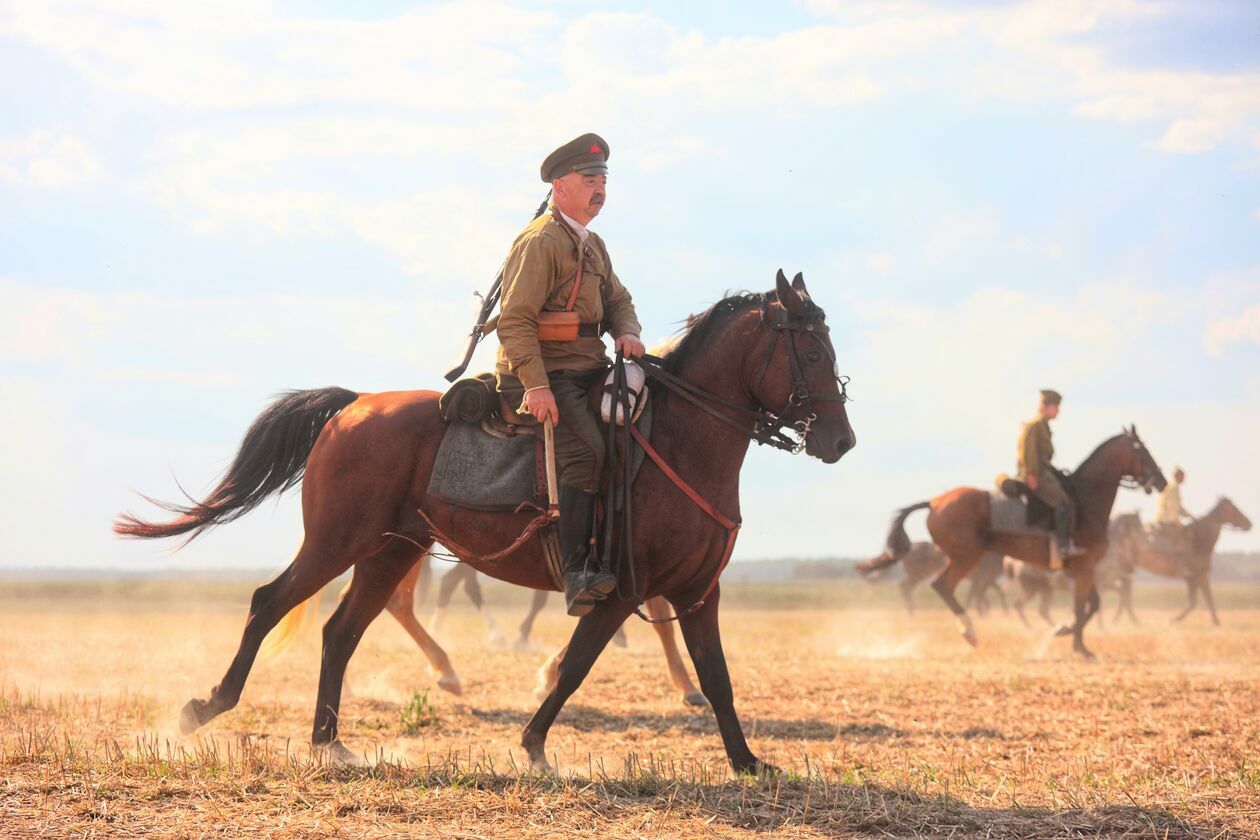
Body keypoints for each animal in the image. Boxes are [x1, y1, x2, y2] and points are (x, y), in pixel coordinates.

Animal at [113, 274, 856, 775]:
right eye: (812, 352)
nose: (841, 441)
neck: (677, 441)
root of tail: (352, 407)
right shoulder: (619, 591)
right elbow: (576, 666)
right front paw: (533, 745)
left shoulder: (700, 592)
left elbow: (718, 677)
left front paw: (748, 762)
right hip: (337, 542)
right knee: (270, 603)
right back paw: (207, 707)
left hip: (390, 550)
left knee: (341, 631)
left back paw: (331, 741)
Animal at [856, 430, 1159, 659]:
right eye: (1143, 451)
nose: (1161, 479)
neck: (1085, 502)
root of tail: (935, 502)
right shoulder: (1084, 569)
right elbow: (1082, 606)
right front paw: (1080, 647)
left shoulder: (1085, 570)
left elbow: (1091, 605)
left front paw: (1064, 632)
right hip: (965, 558)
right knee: (942, 586)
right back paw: (969, 631)